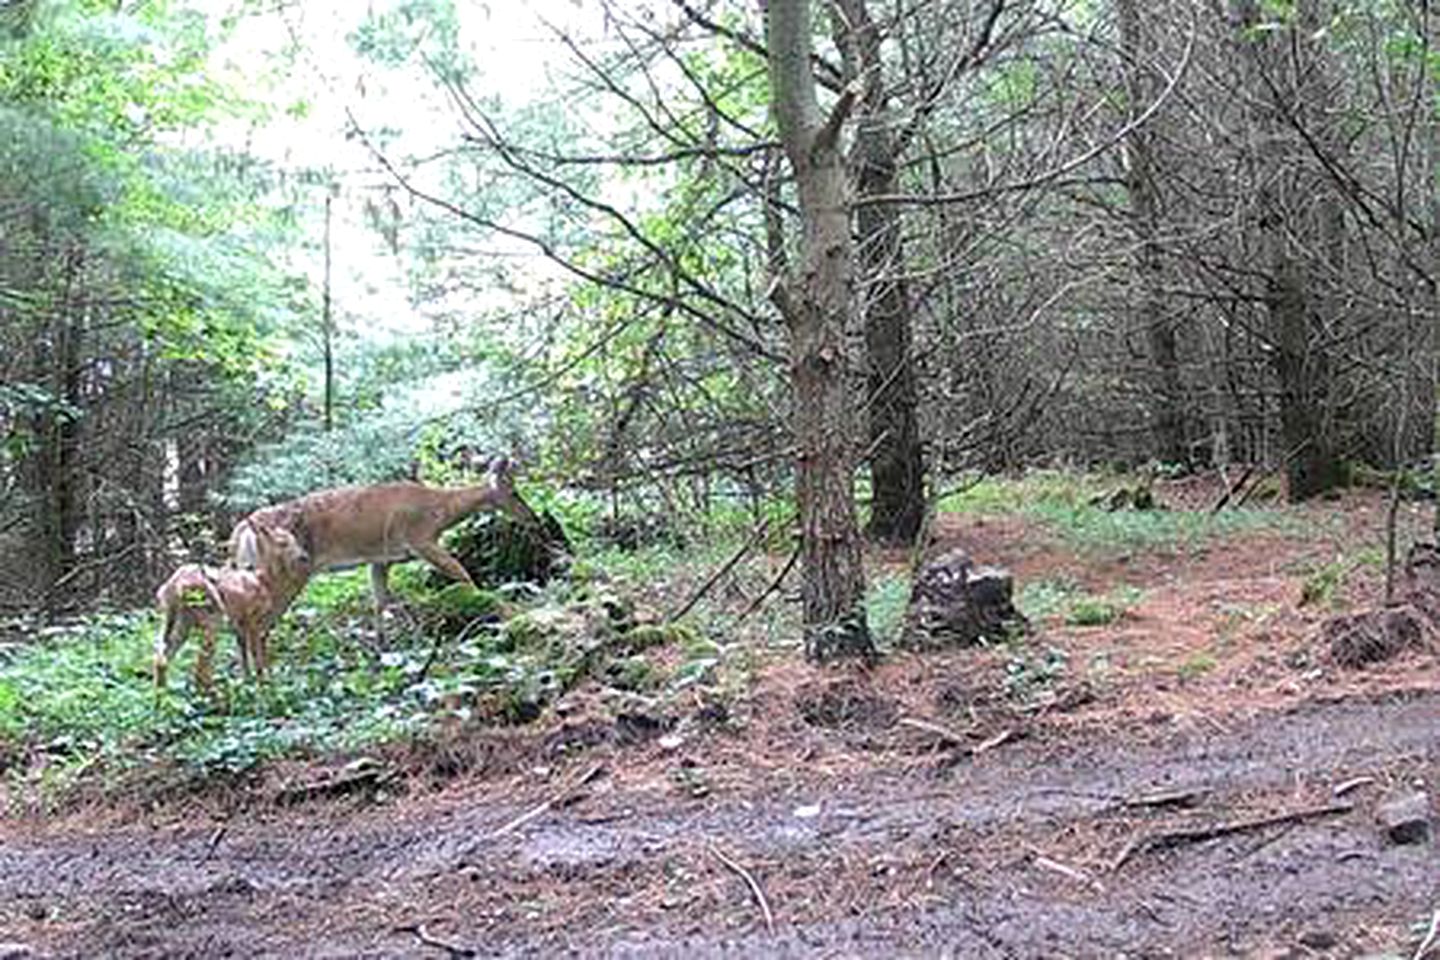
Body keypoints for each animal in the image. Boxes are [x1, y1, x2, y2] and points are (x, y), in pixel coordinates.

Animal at [154, 521, 312, 687]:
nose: (304, 556)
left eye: (294, 538)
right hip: (209, 616)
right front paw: (262, 685)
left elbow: (243, 655)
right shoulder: (253, 618)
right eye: (283, 542)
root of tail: (174, 587)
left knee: (162, 659)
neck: (265, 581)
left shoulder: (239, 623)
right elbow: (256, 654)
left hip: (177, 619)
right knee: (201, 669)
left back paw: (162, 694)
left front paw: (248, 681)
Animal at [233, 457, 538, 607]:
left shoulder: (381, 558)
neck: (439, 511)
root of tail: (244, 529)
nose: (533, 517)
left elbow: (380, 603)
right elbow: (461, 572)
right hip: (283, 566)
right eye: (514, 492)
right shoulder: (420, 538)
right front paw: (487, 600)